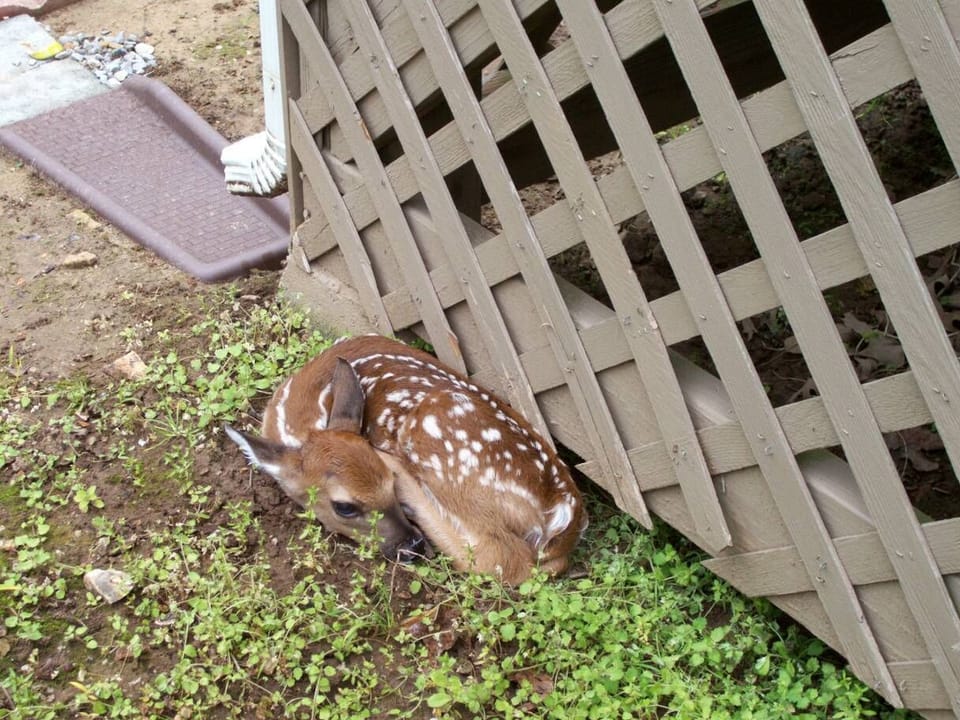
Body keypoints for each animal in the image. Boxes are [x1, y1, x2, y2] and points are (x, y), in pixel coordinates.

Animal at [224, 335, 587, 584]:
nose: (412, 546)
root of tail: (562, 513)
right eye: (344, 507)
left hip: (438, 432)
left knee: (500, 559)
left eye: (390, 484)